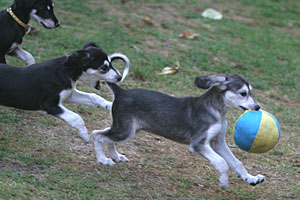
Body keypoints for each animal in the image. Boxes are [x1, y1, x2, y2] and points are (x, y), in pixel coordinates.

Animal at [0, 41, 131, 142]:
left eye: (110, 63)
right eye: (104, 68)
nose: (119, 77)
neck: (65, 71)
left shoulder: (69, 94)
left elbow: (94, 97)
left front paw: (109, 105)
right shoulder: (49, 104)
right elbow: (76, 117)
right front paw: (84, 135)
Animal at [92, 73, 264, 188]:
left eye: (251, 92)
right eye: (243, 93)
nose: (257, 107)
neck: (216, 111)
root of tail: (121, 92)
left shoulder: (218, 142)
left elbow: (236, 162)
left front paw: (251, 178)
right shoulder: (198, 144)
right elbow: (222, 162)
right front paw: (223, 181)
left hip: (127, 129)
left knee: (106, 136)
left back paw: (115, 156)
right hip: (125, 131)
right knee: (96, 135)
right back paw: (103, 159)